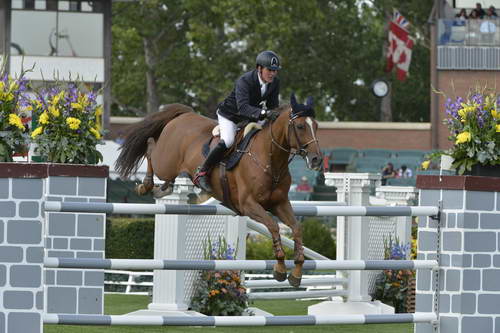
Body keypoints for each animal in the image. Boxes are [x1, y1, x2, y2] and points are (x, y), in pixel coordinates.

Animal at [115, 93, 322, 286]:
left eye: (316, 126)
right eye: (300, 126)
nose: (316, 160)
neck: (270, 160)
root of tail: (184, 114)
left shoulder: (280, 203)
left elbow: (296, 228)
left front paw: (296, 272)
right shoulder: (248, 205)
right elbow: (273, 226)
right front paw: (279, 268)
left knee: (164, 173)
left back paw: (164, 189)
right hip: (165, 162)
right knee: (150, 147)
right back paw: (146, 185)